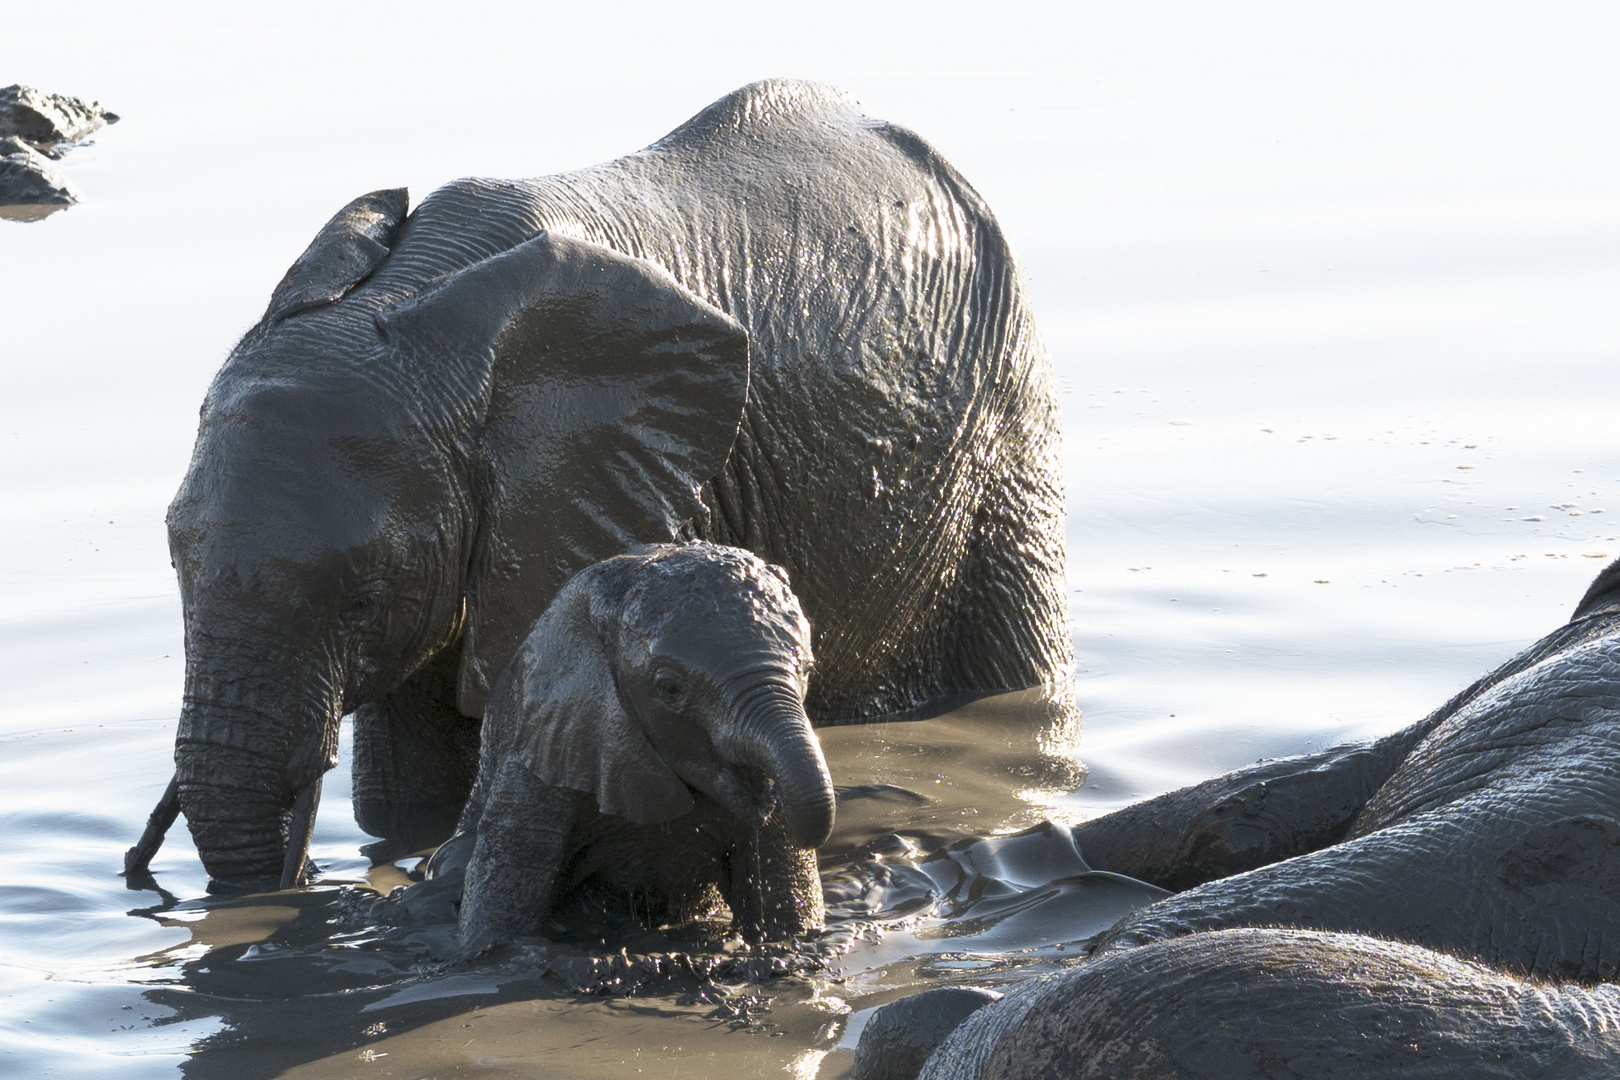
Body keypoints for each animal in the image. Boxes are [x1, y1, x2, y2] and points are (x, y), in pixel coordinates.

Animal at [157, 80, 1069, 893]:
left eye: (361, 601)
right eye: (173, 562)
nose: (294, 881)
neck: (405, 296)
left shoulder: (647, 493)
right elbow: (406, 785)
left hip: (1006, 440)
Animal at [430, 544, 835, 952]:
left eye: (807, 671)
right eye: (669, 688)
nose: (764, 803)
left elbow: (788, 912)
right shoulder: (539, 753)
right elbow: (498, 923)